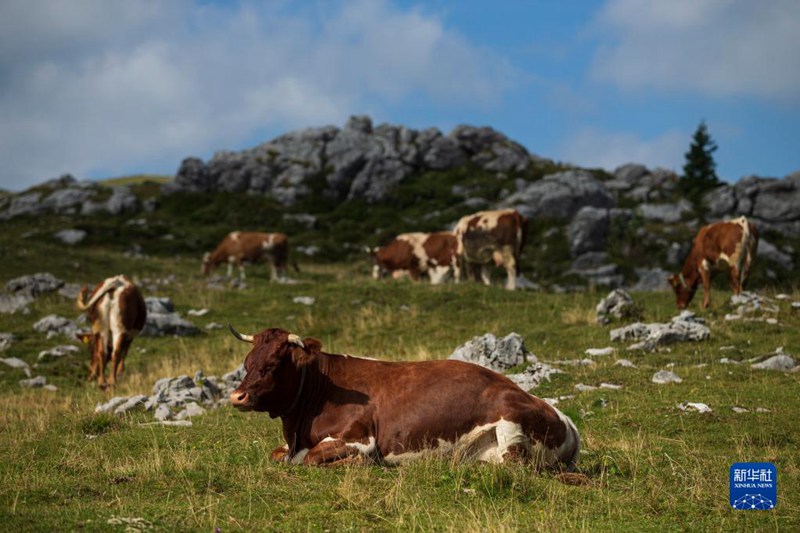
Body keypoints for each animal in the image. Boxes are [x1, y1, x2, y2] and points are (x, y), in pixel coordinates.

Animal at [228, 326, 580, 468]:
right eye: (247, 362)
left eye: (274, 363)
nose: (237, 396)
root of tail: (566, 420)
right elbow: (277, 454)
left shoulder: (360, 438)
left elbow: (314, 459)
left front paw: (363, 464)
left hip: (510, 421)